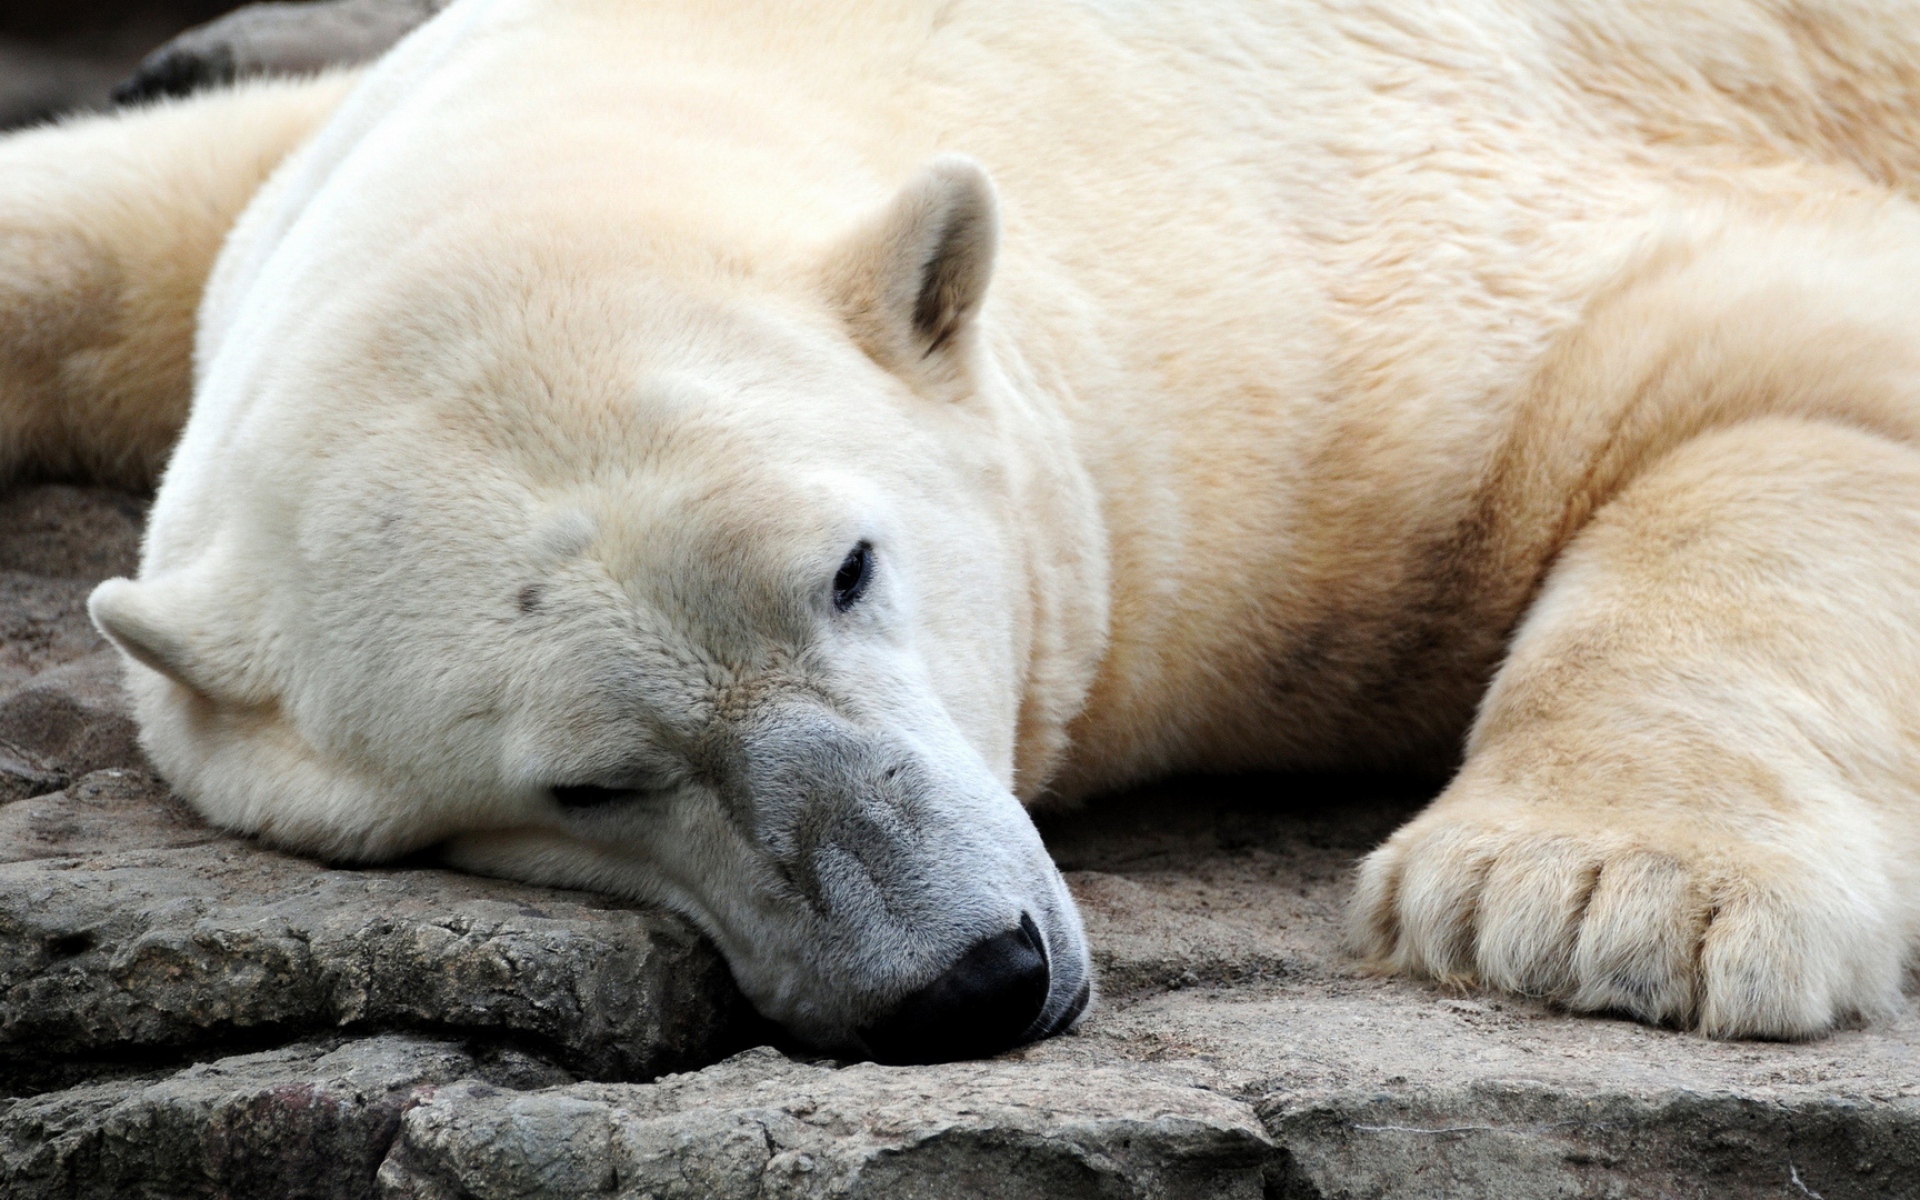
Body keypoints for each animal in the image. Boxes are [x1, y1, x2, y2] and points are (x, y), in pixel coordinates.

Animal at [4, 0, 1920, 1061]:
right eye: (588, 788)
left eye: (851, 569)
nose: (972, 977)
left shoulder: (1329, 320)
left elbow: (1788, 370)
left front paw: (1591, 902)